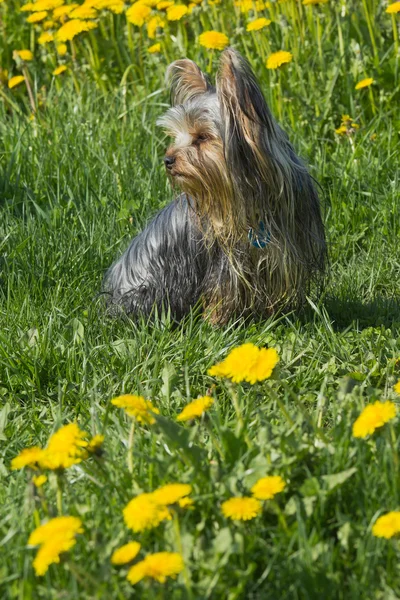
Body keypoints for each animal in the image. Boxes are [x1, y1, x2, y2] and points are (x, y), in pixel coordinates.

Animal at [104, 49, 326, 326]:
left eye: (201, 137)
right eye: (175, 136)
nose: (167, 160)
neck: (250, 195)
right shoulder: (225, 263)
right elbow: (221, 292)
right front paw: (215, 324)